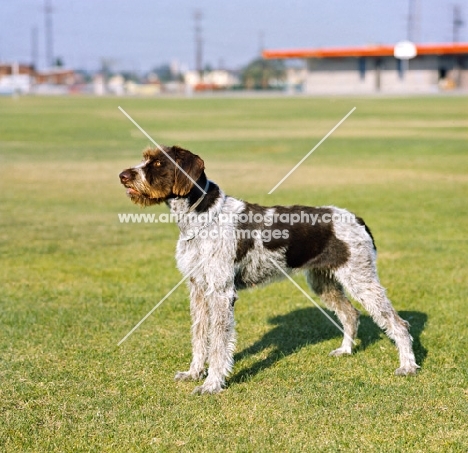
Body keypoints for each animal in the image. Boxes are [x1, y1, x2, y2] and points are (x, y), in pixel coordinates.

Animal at [119, 145, 418, 392]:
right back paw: (345, 351)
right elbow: (199, 336)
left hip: (361, 279)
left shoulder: (221, 292)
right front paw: (194, 373)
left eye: (158, 163)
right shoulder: (198, 289)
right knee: (350, 314)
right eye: (146, 159)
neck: (202, 218)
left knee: (398, 323)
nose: (123, 175)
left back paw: (408, 366)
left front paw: (212, 384)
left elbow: (218, 344)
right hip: (324, 282)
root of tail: (356, 218)